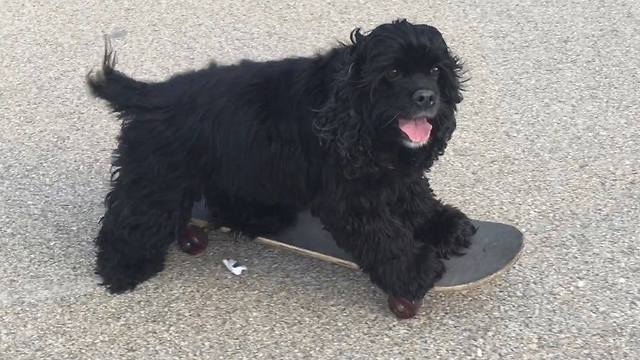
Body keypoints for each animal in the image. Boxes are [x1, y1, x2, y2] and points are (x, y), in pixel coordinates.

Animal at [86, 20, 476, 310]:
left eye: (435, 70)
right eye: (393, 72)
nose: (427, 98)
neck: (347, 103)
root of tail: (153, 93)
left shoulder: (395, 174)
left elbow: (416, 201)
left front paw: (446, 227)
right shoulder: (350, 197)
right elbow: (385, 236)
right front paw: (415, 271)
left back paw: (260, 218)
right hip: (158, 178)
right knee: (131, 219)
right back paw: (123, 270)